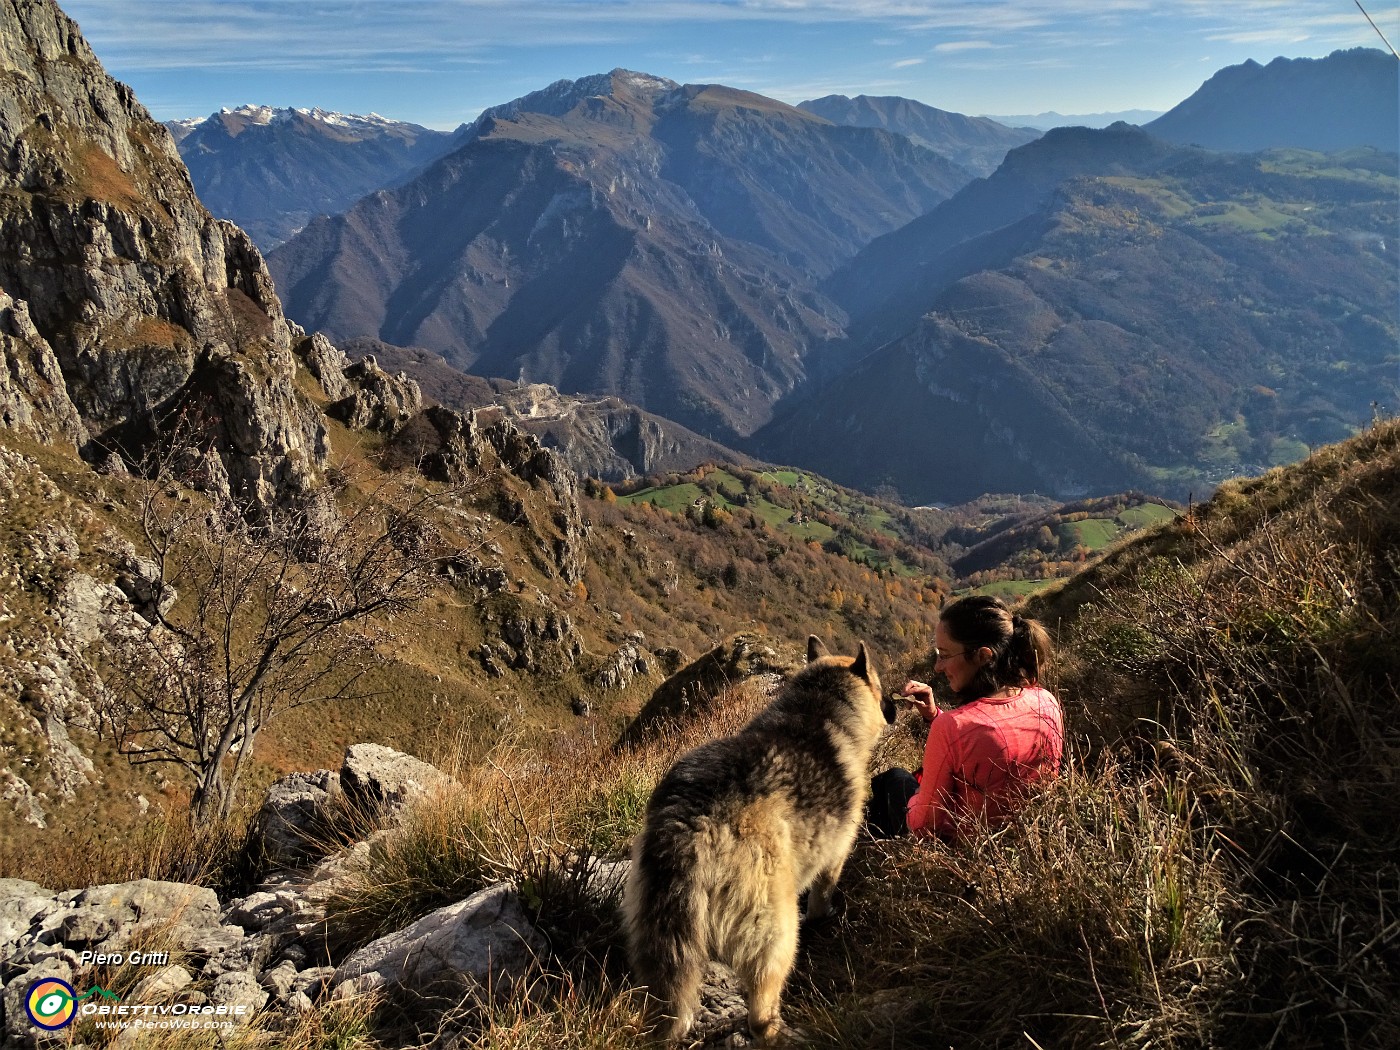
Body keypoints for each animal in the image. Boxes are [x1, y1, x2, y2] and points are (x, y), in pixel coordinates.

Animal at [624, 638, 884, 1047]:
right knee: (761, 1003)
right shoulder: (836, 853)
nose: (894, 707)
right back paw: (778, 1029)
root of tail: (692, 824)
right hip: (774, 924)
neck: (820, 708)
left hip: (650, 917)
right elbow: (825, 889)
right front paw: (824, 914)